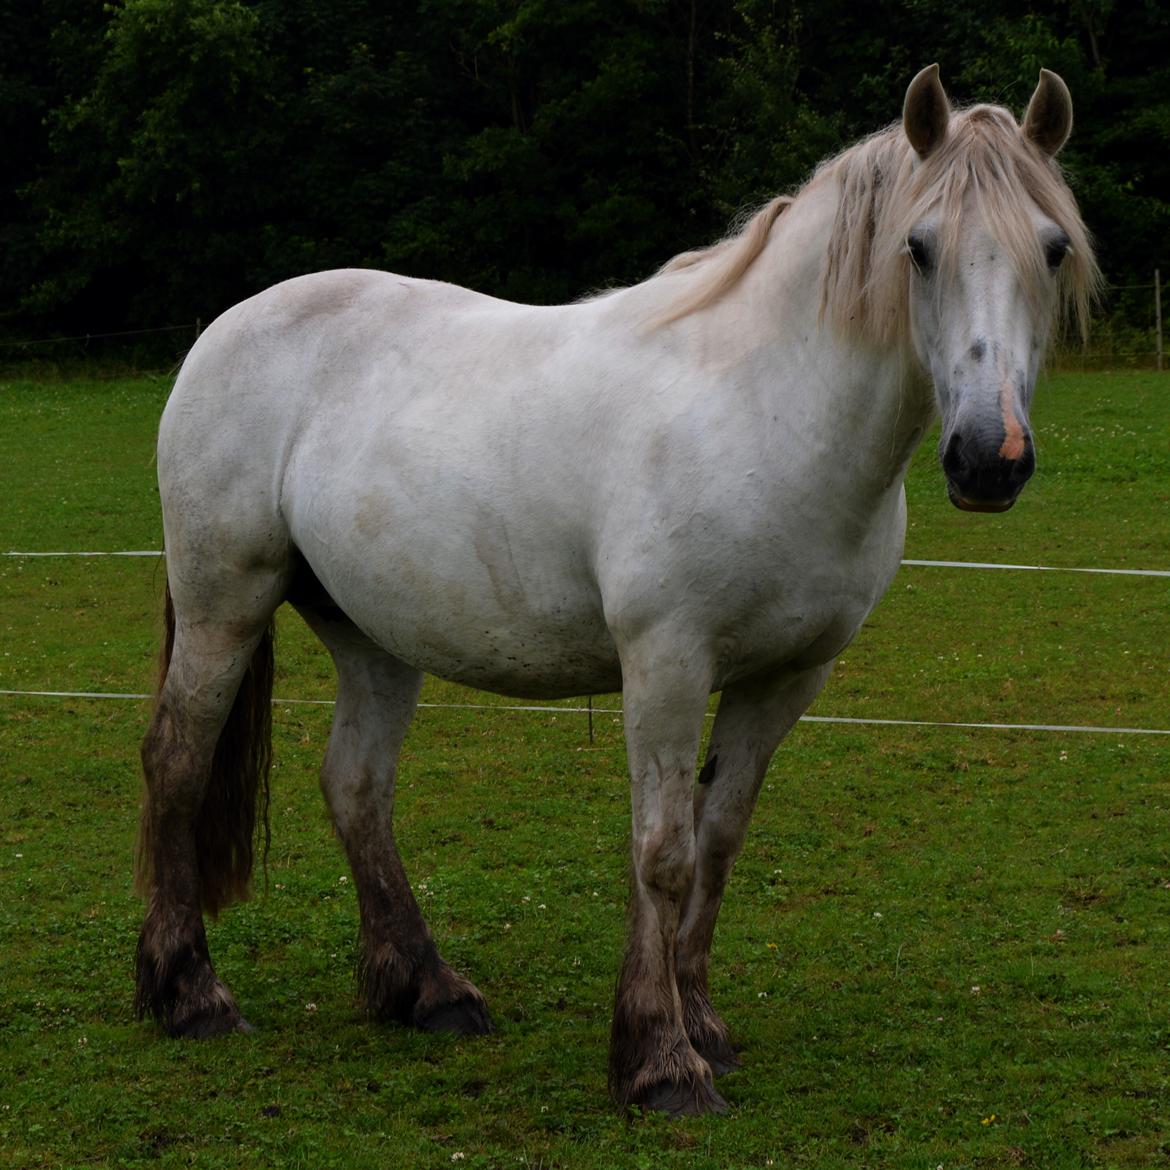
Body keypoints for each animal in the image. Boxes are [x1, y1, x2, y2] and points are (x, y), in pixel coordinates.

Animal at [134, 66, 1095, 1113]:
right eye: (918, 250)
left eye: (1051, 247)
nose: (989, 460)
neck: (769, 408)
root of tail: (227, 328)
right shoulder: (666, 662)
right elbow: (662, 852)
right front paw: (660, 1060)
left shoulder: (787, 678)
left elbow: (719, 841)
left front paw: (702, 1024)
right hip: (225, 605)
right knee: (177, 762)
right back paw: (189, 994)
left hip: (372, 637)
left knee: (355, 786)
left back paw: (428, 990)